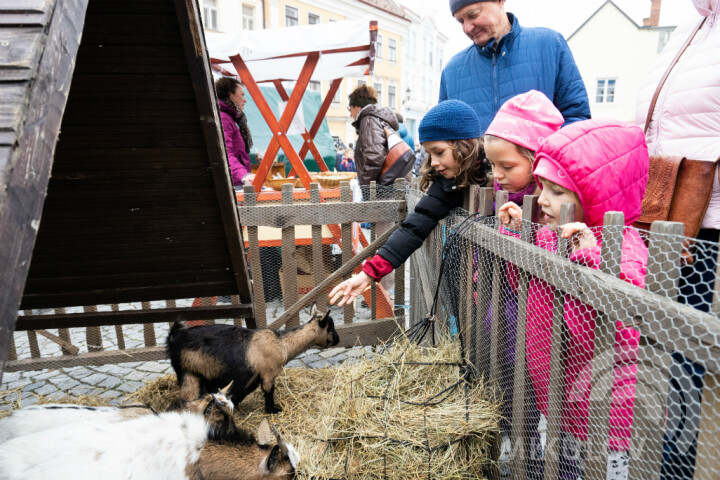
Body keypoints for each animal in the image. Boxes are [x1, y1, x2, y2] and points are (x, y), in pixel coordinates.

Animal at [167, 304, 338, 412]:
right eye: (331, 326)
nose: (338, 340)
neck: (282, 344)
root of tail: (174, 339)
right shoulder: (268, 374)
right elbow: (269, 392)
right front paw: (272, 410)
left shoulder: (252, 376)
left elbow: (243, 392)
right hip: (190, 375)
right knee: (182, 403)